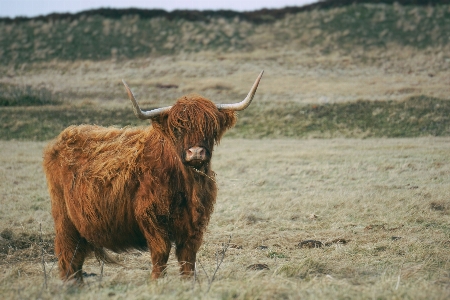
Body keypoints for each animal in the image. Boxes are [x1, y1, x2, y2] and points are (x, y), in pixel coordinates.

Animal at [43, 71, 264, 282]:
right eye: (177, 128)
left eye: (211, 127)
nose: (196, 152)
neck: (187, 185)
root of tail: (64, 136)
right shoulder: (152, 217)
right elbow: (161, 254)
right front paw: (157, 282)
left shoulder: (195, 223)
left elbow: (188, 257)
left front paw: (188, 283)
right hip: (64, 217)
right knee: (68, 254)